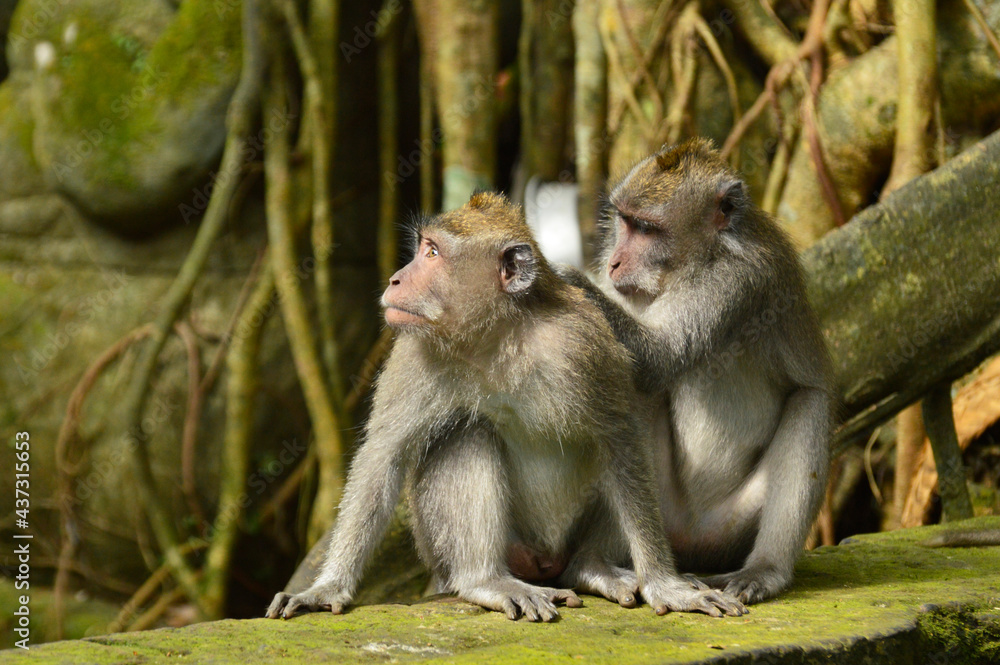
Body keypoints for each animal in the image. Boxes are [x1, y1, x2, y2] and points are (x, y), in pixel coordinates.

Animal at [266, 192, 747, 622]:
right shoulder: (415, 355)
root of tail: (545, 562)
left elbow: (622, 439)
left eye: (433, 253)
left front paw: (664, 584)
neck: (495, 337)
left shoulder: (583, 344)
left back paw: (592, 567)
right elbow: (382, 458)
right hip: (463, 552)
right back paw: (486, 581)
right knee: (466, 434)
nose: (395, 280)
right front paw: (325, 589)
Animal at [557, 138, 834, 605]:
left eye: (647, 229)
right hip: (668, 512)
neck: (702, 258)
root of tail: (690, 540)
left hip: (731, 527)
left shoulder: (739, 281)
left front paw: (555, 276)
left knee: (811, 403)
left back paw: (764, 569)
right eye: (624, 222)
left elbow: (659, 357)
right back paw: (595, 563)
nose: (613, 263)